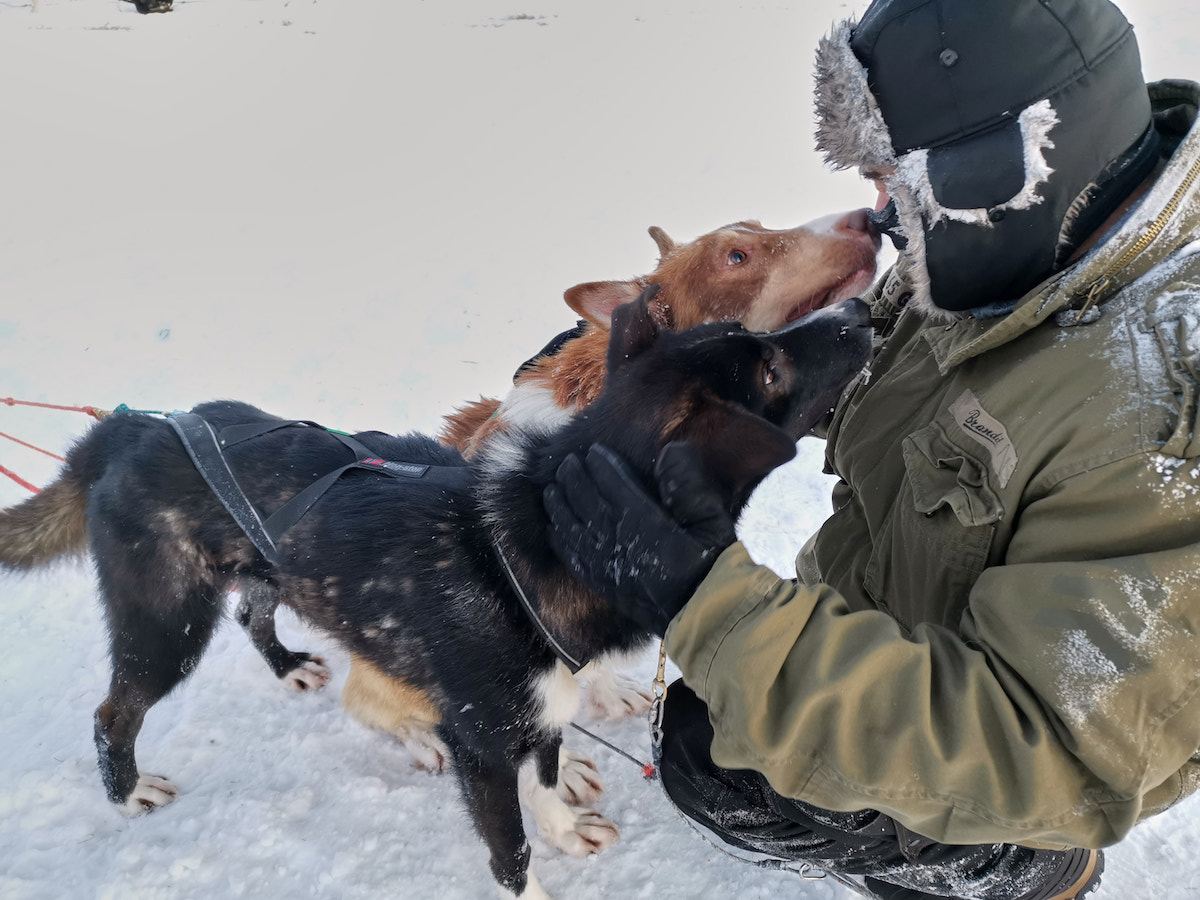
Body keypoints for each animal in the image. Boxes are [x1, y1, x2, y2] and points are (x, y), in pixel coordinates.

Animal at [0, 292, 864, 897]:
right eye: (770, 370)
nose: (859, 311)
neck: (535, 547)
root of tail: (132, 429)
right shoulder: (482, 747)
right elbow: (510, 852)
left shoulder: (537, 714)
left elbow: (543, 777)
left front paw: (563, 825)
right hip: (167, 626)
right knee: (114, 713)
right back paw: (127, 793)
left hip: (258, 576)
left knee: (255, 611)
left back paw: (292, 669)